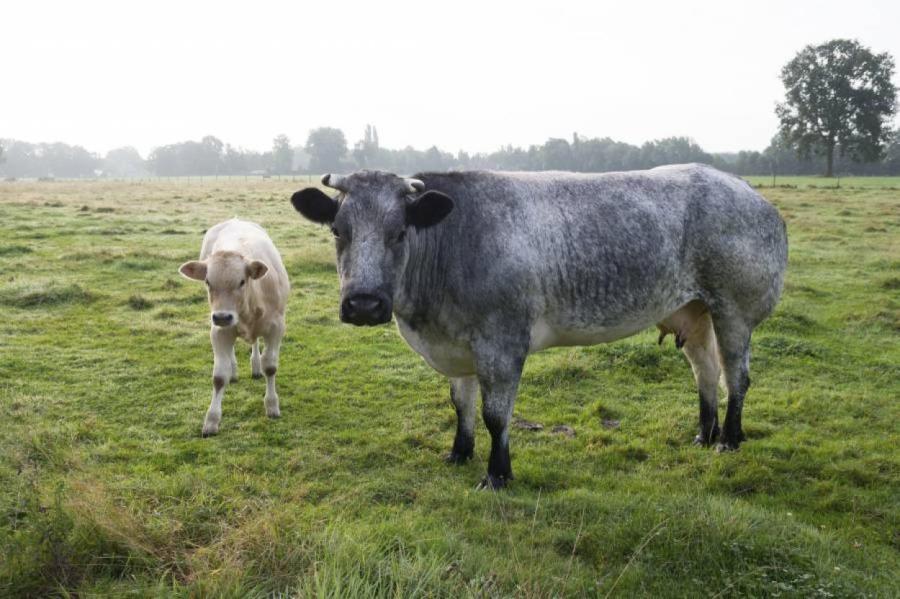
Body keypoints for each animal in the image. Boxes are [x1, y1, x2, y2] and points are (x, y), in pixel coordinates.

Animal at [181, 218, 294, 438]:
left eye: (242, 281)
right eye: (208, 281)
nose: (222, 316)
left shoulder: (276, 327)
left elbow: (270, 367)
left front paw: (272, 405)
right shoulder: (218, 331)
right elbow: (218, 377)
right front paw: (211, 420)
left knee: (256, 344)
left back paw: (255, 366)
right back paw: (234, 370)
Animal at [290, 163, 788, 488]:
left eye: (399, 233)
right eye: (337, 230)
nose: (364, 304)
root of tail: (749, 192)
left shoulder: (502, 342)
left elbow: (495, 414)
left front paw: (497, 473)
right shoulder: (458, 346)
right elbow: (461, 405)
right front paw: (459, 453)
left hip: (734, 310)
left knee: (736, 376)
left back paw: (729, 440)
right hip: (693, 310)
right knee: (705, 372)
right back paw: (704, 434)